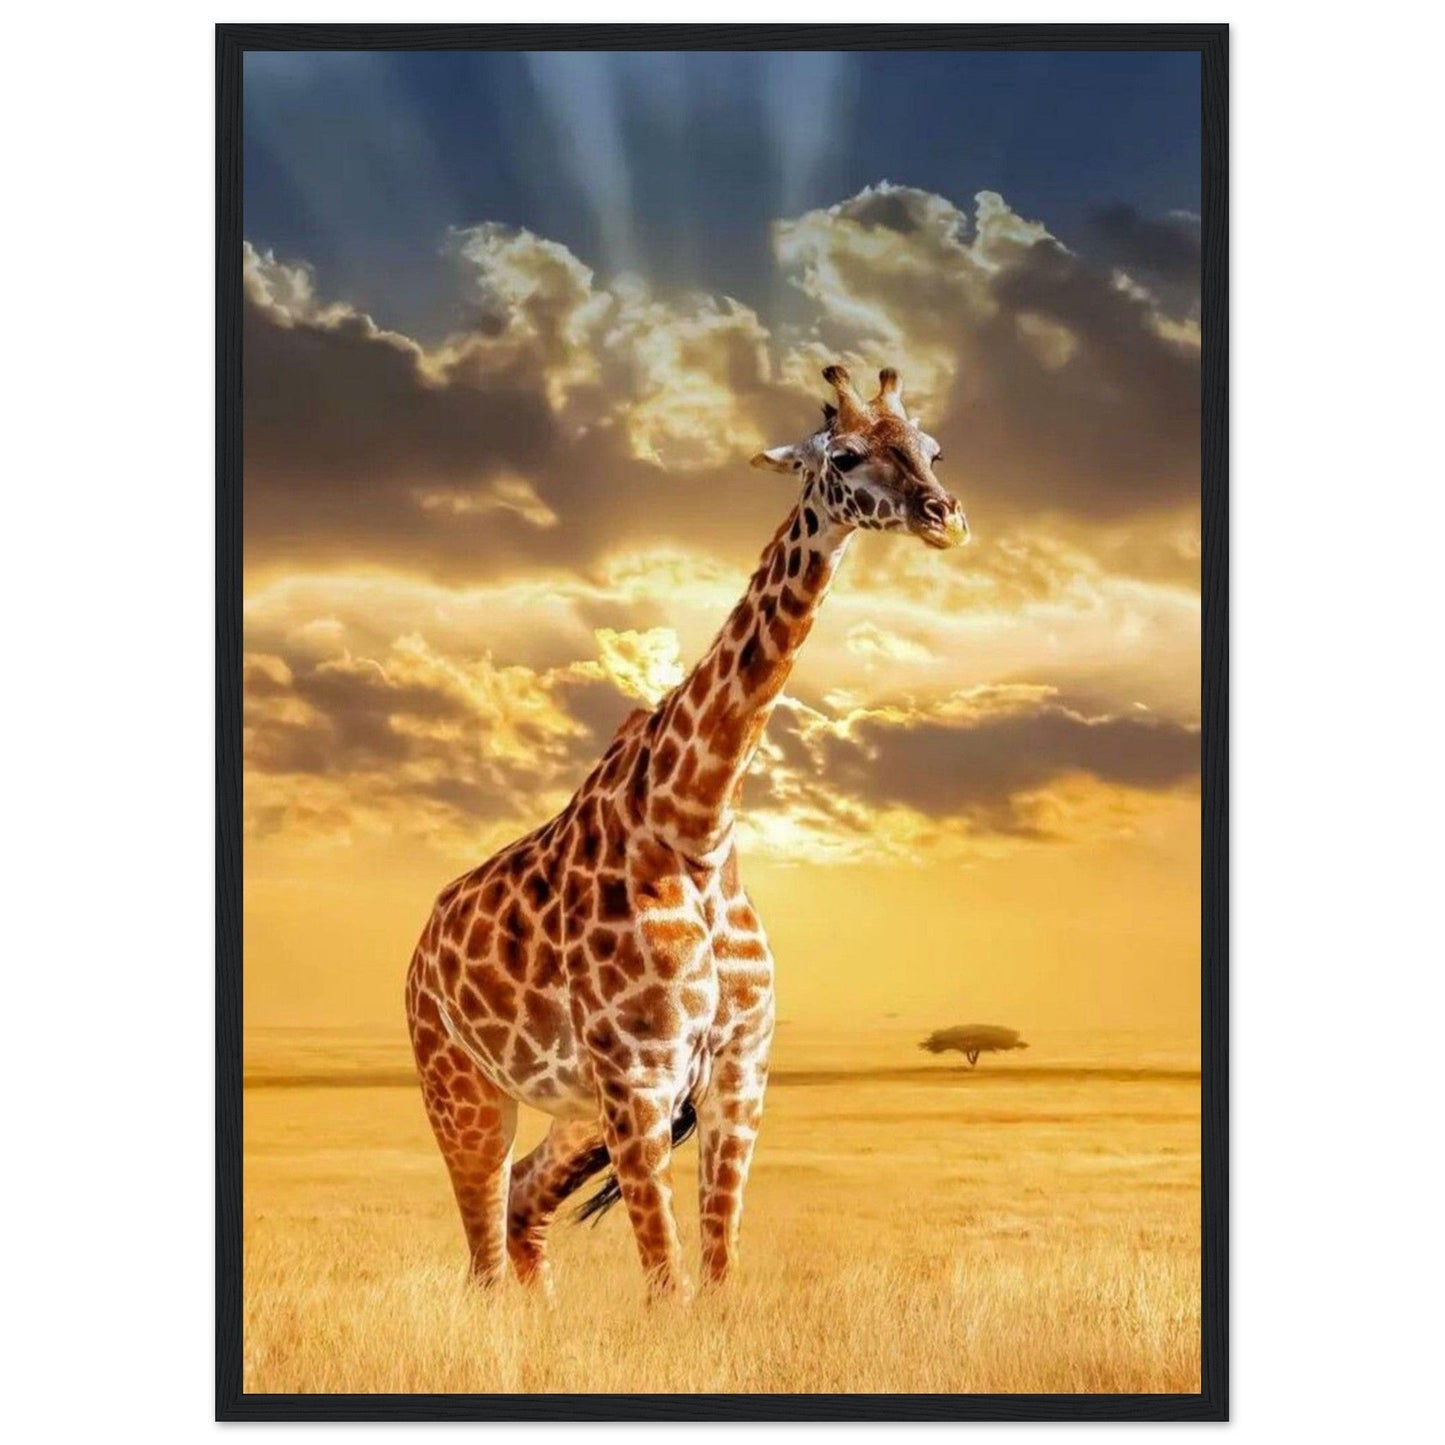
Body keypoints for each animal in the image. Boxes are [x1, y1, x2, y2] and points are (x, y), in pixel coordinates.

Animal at [405, 364, 968, 1300]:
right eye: (845, 455)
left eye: (930, 448)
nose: (945, 516)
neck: (695, 821)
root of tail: (418, 952)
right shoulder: (641, 1074)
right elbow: (668, 1285)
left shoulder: (737, 1073)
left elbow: (719, 1273)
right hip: (461, 1085)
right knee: (483, 1246)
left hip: (575, 1109)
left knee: (522, 1209)